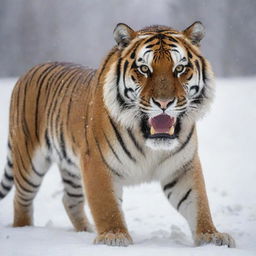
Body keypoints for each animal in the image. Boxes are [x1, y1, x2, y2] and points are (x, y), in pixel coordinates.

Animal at [0, 22, 236, 248]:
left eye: (179, 68)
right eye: (144, 69)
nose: (164, 103)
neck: (149, 142)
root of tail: (31, 69)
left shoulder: (182, 166)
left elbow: (198, 203)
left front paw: (212, 237)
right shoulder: (97, 163)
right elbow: (106, 205)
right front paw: (113, 237)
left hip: (71, 168)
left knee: (69, 200)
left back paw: (86, 230)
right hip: (29, 161)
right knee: (21, 200)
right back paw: (25, 230)